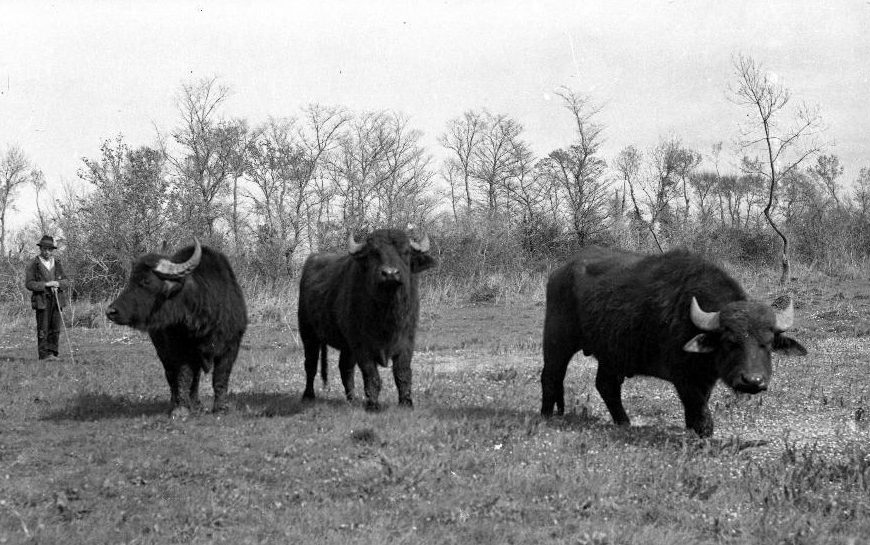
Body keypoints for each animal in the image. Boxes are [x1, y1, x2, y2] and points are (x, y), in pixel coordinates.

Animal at [108, 238, 249, 416]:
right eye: (130, 280)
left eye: (146, 281)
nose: (111, 311)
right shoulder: (180, 350)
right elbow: (183, 377)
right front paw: (181, 409)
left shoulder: (230, 347)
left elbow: (220, 378)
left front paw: (220, 408)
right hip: (163, 351)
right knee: (172, 376)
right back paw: (176, 403)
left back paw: (196, 404)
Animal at [300, 227, 436, 410]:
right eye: (374, 253)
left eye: (406, 252)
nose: (390, 273)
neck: (387, 312)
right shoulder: (362, 345)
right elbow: (372, 375)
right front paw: (373, 405)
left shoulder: (407, 341)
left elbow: (402, 373)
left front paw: (406, 402)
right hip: (308, 333)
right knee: (311, 365)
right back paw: (308, 395)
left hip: (346, 345)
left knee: (345, 368)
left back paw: (352, 398)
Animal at [540, 246, 808, 438]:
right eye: (730, 341)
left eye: (768, 343)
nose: (752, 381)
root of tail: (559, 273)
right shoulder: (684, 378)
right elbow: (700, 415)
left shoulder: (705, 380)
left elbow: (697, 412)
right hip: (557, 340)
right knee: (551, 376)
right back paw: (545, 416)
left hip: (612, 353)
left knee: (607, 385)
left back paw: (624, 423)